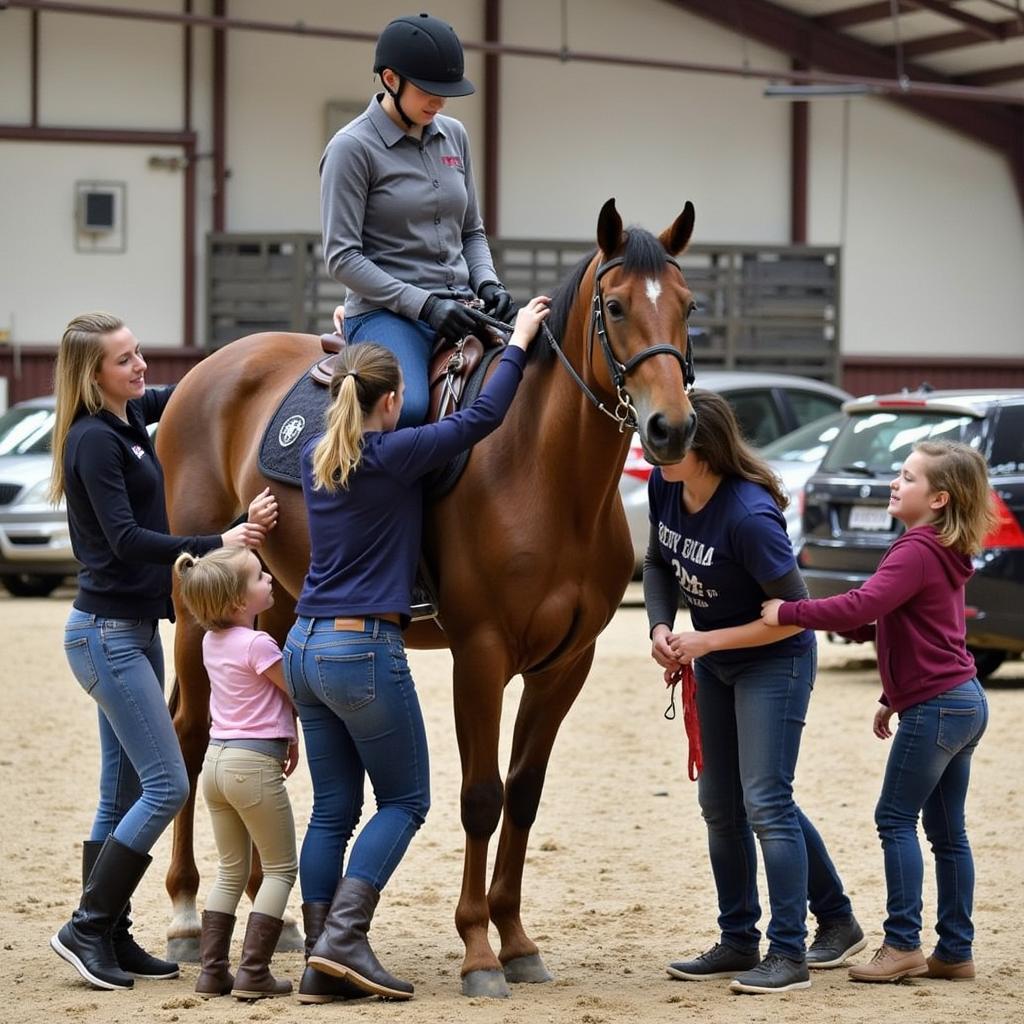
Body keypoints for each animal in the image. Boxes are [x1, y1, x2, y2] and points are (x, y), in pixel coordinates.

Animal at [157, 195, 696, 995]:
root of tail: (206, 372)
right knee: (193, 736)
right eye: (618, 306)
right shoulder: (480, 654)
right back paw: (188, 915)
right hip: (204, 612)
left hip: (277, 606)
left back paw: (275, 919)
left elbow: (524, 793)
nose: (672, 427)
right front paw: (478, 951)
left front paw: (517, 941)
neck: (545, 471)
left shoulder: (567, 664)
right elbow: (481, 798)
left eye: (688, 307)